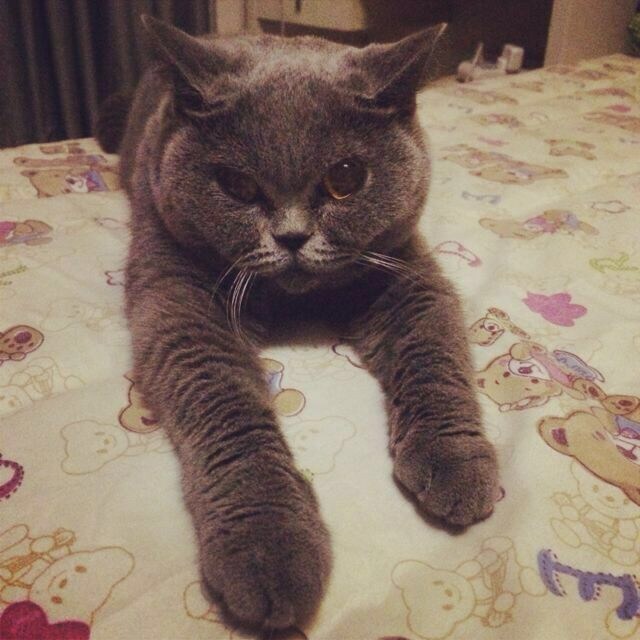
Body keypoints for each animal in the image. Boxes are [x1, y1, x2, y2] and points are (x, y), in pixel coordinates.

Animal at [95, 15, 499, 632]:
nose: (291, 236)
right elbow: (226, 406)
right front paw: (269, 545)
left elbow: (436, 353)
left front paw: (456, 460)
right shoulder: (175, 294)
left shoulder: (405, 271)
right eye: (236, 185)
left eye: (346, 177)